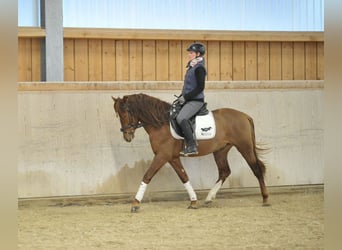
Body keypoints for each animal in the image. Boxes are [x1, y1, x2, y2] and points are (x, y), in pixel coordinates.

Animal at [113, 93, 270, 212]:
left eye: (126, 112)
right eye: (118, 115)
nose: (127, 136)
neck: (161, 123)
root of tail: (244, 115)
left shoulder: (162, 156)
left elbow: (147, 176)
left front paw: (135, 204)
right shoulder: (172, 157)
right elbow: (184, 177)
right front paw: (193, 201)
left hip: (244, 147)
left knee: (256, 169)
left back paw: (265, 199)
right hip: (220, 151)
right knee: (225, 171)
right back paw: (209, 198)